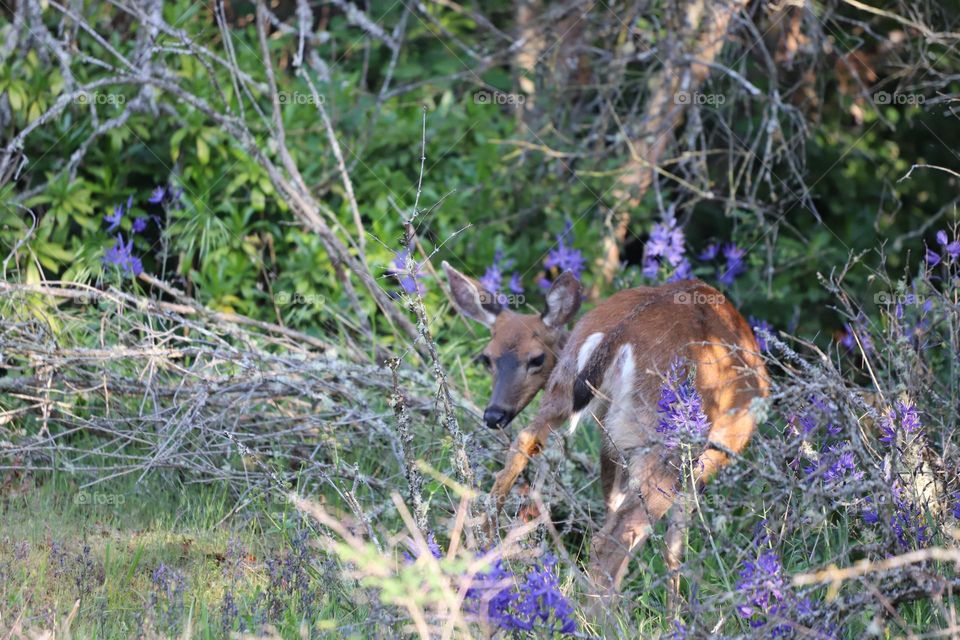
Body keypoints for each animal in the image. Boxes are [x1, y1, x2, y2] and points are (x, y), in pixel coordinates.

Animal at [444, 260, 772, 600]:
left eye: (536, 358)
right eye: (488, 359)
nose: (494, 414)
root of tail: (616, 334)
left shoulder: (610, 443)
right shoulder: (713, 454)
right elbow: (675, 543)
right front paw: (676, 608)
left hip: (565, 393)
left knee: (523, 446)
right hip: (671, 435)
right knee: (619, 536)